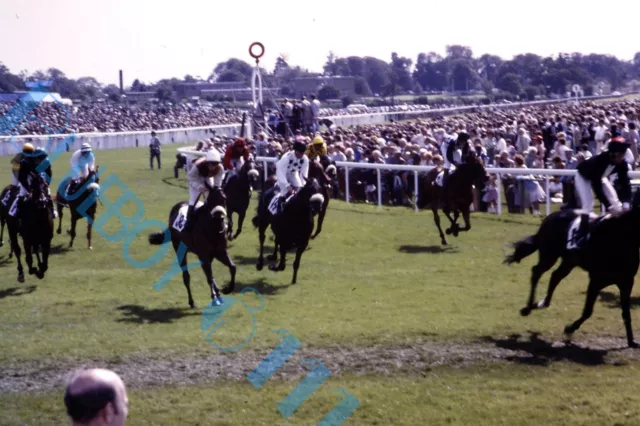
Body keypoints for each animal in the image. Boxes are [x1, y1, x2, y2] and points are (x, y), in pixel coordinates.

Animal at [502, 191, 640, 348]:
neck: (620, 238)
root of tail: (550, 217)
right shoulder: (595, 280)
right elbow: (588, 311)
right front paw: (569, 329)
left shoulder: (626, 282)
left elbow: (626, 313)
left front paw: (631, 341)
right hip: (549, 256)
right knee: (537, 271)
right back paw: (528, 307)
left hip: (569, 262)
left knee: (555, 276)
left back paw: (541, 303)